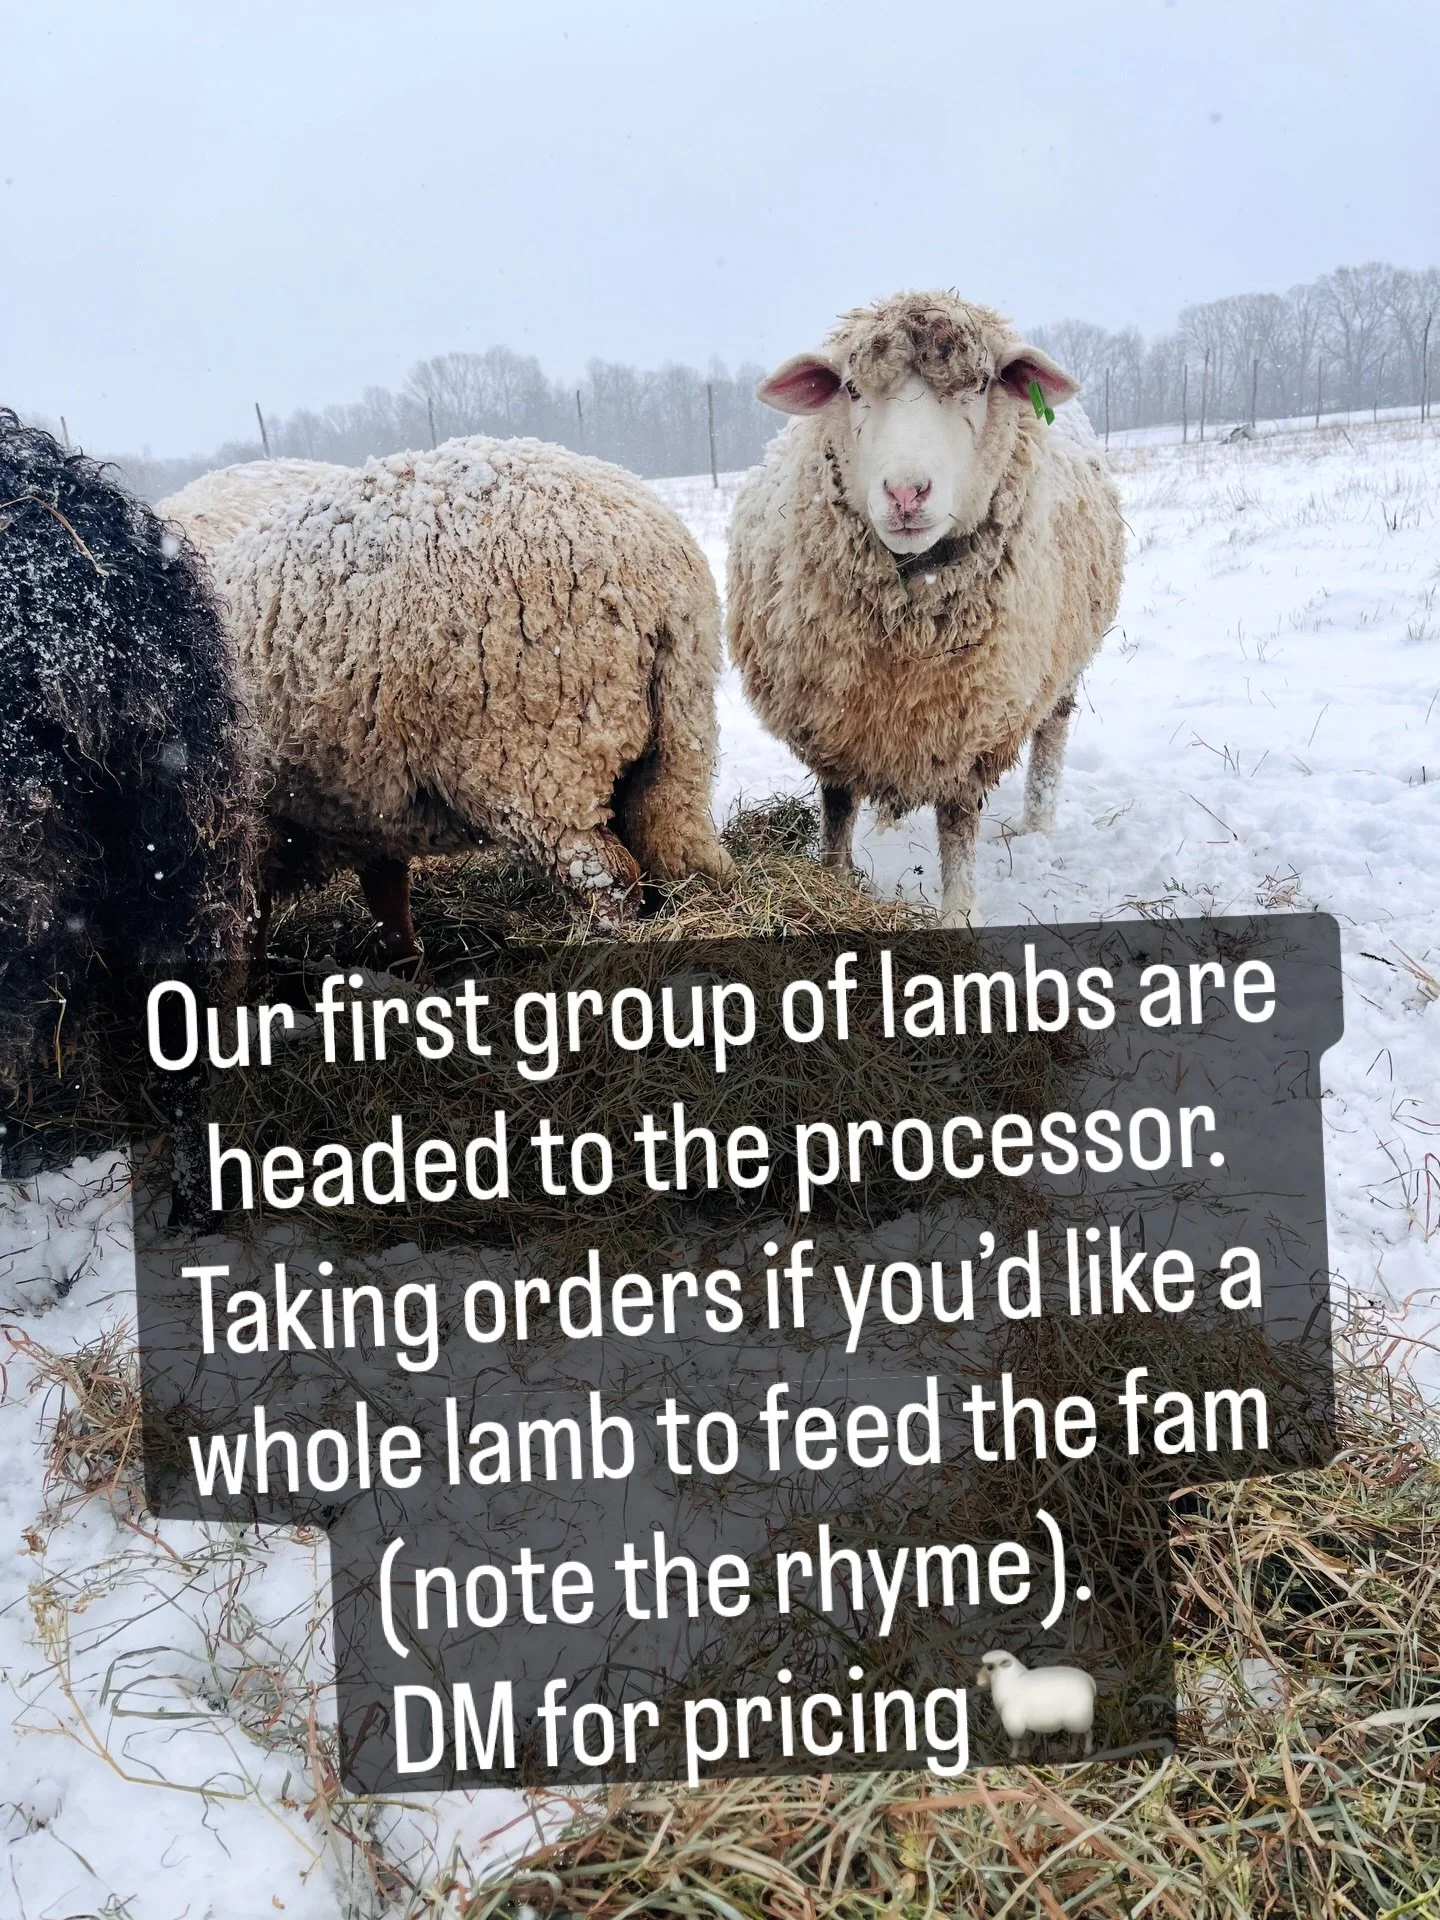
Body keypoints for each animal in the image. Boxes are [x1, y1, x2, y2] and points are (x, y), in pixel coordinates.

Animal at [163, 437, 735, 961]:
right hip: (679, 740)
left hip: (540, 764)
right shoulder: (367, 806)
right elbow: (386, 901)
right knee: (680, 854)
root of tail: (661, 577)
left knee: (610, 883)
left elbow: (247, 930)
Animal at [727, 290, 1125, 926]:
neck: (908, 635)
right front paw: (832, 884)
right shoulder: (835, 723)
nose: (906, 492)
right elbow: (837, 810)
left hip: (1063, 664)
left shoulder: (972, 725)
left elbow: (957, 829)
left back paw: (1037, 824)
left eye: (981, 383)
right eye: (852, 389)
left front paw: (958, 915)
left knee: (1052, 733)